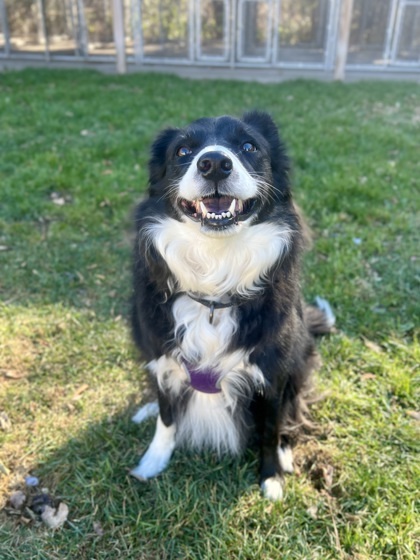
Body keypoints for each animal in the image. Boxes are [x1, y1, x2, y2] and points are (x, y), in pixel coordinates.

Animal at [130, 111, 334, 500]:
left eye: (249, 146)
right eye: (183, 150)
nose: (213, 164)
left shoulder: (273, 373)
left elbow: (270, 429)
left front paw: (271, 477)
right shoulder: (162, 356)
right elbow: (167, 415)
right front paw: (151, 462)